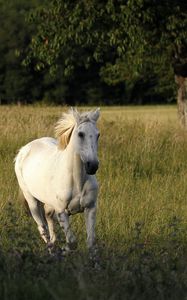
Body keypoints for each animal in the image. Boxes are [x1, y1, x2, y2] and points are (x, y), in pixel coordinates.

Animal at [14, 108, 100, 253]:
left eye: (98, 135)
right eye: (80, 134)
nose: (92, 166)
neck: (77, 182)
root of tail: (23, 150)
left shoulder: (90, 208)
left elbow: (91, 242)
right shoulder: (62, 211)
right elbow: (72, 242)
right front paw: (64, 251)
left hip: (49, 205)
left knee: (49, 222)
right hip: (32, 202)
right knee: (43, 229)